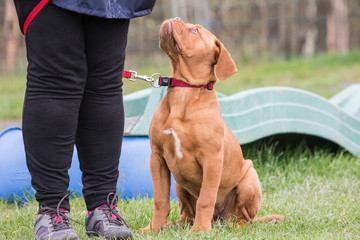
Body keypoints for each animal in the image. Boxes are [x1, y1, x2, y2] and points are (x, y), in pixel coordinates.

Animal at [142, 17, 282, 233]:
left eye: (195, 31)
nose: (176, 19)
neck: (185, 91)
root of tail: (220, 219)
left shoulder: (211, 160)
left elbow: (206, 198)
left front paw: (200, 230)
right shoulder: (157, 157)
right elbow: (160, 200)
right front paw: (153, 229)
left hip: (249, 177)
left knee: (245, 218)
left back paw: (234, 225)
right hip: (179, 185)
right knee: (186, 214)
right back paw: (173, 225)